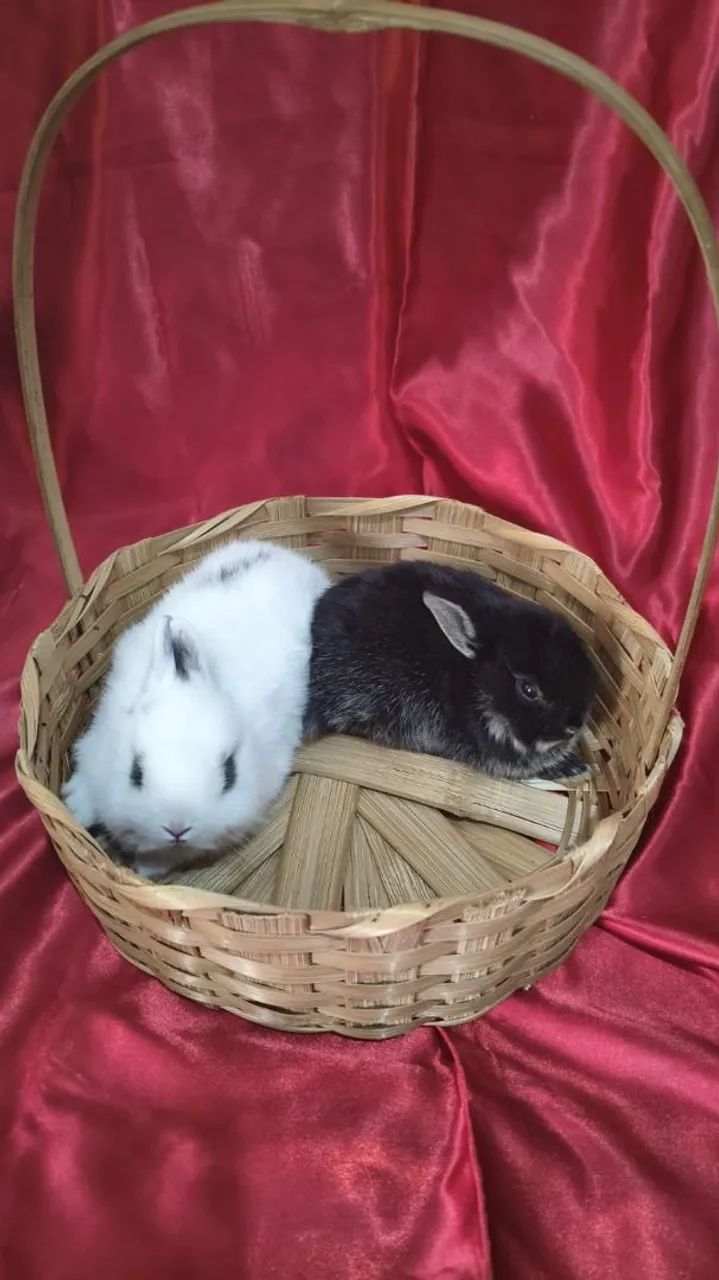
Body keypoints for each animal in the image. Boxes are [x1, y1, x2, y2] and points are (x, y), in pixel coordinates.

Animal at [62, 540, 330, 879]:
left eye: (230, 773)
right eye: (136, 772)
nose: (177, 827)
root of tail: (286, 555)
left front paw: (146, 869)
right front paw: (74, 805)